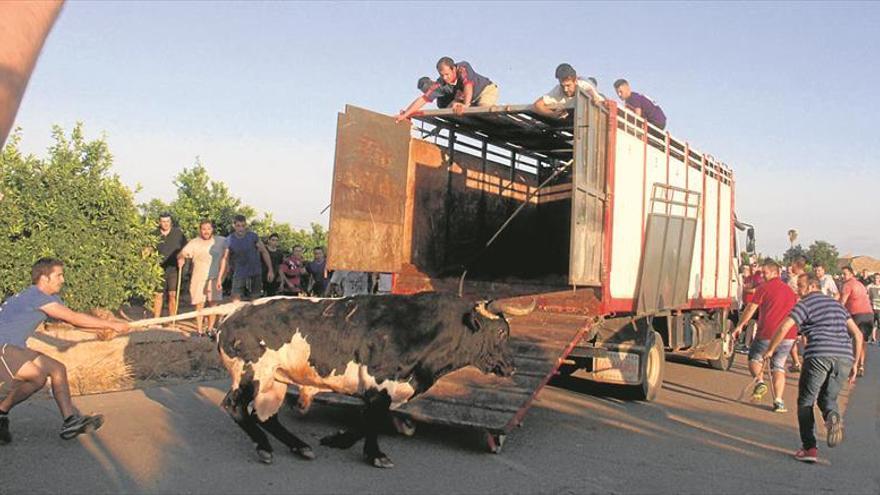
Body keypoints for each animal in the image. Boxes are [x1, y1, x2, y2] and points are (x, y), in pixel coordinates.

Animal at [218, 292, 536, 470]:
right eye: (501, 333)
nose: (512, 367)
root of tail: (233, 313)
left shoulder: (387, 390)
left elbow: (367, 420)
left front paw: (338, 440)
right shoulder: (380, 385)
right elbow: (372, 420)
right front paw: (375, 455)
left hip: (275, 380)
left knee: (265, 415)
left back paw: (299, 447)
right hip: (252, 374)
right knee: (235, 407)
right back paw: (265, 448)